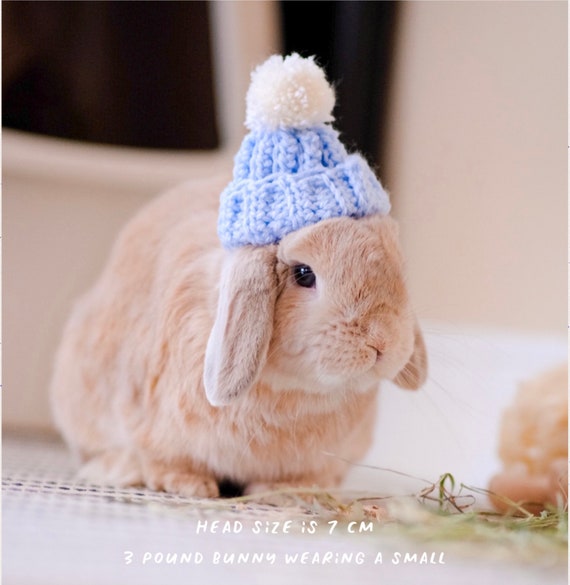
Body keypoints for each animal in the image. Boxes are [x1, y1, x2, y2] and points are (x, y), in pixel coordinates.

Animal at [50, 175, 426, 498]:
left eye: (396, 266)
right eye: (304, 274)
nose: (382, 341)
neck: (293, 393)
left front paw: (284, 492)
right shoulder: (147, 425)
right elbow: (161, 461)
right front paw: (191, 486)